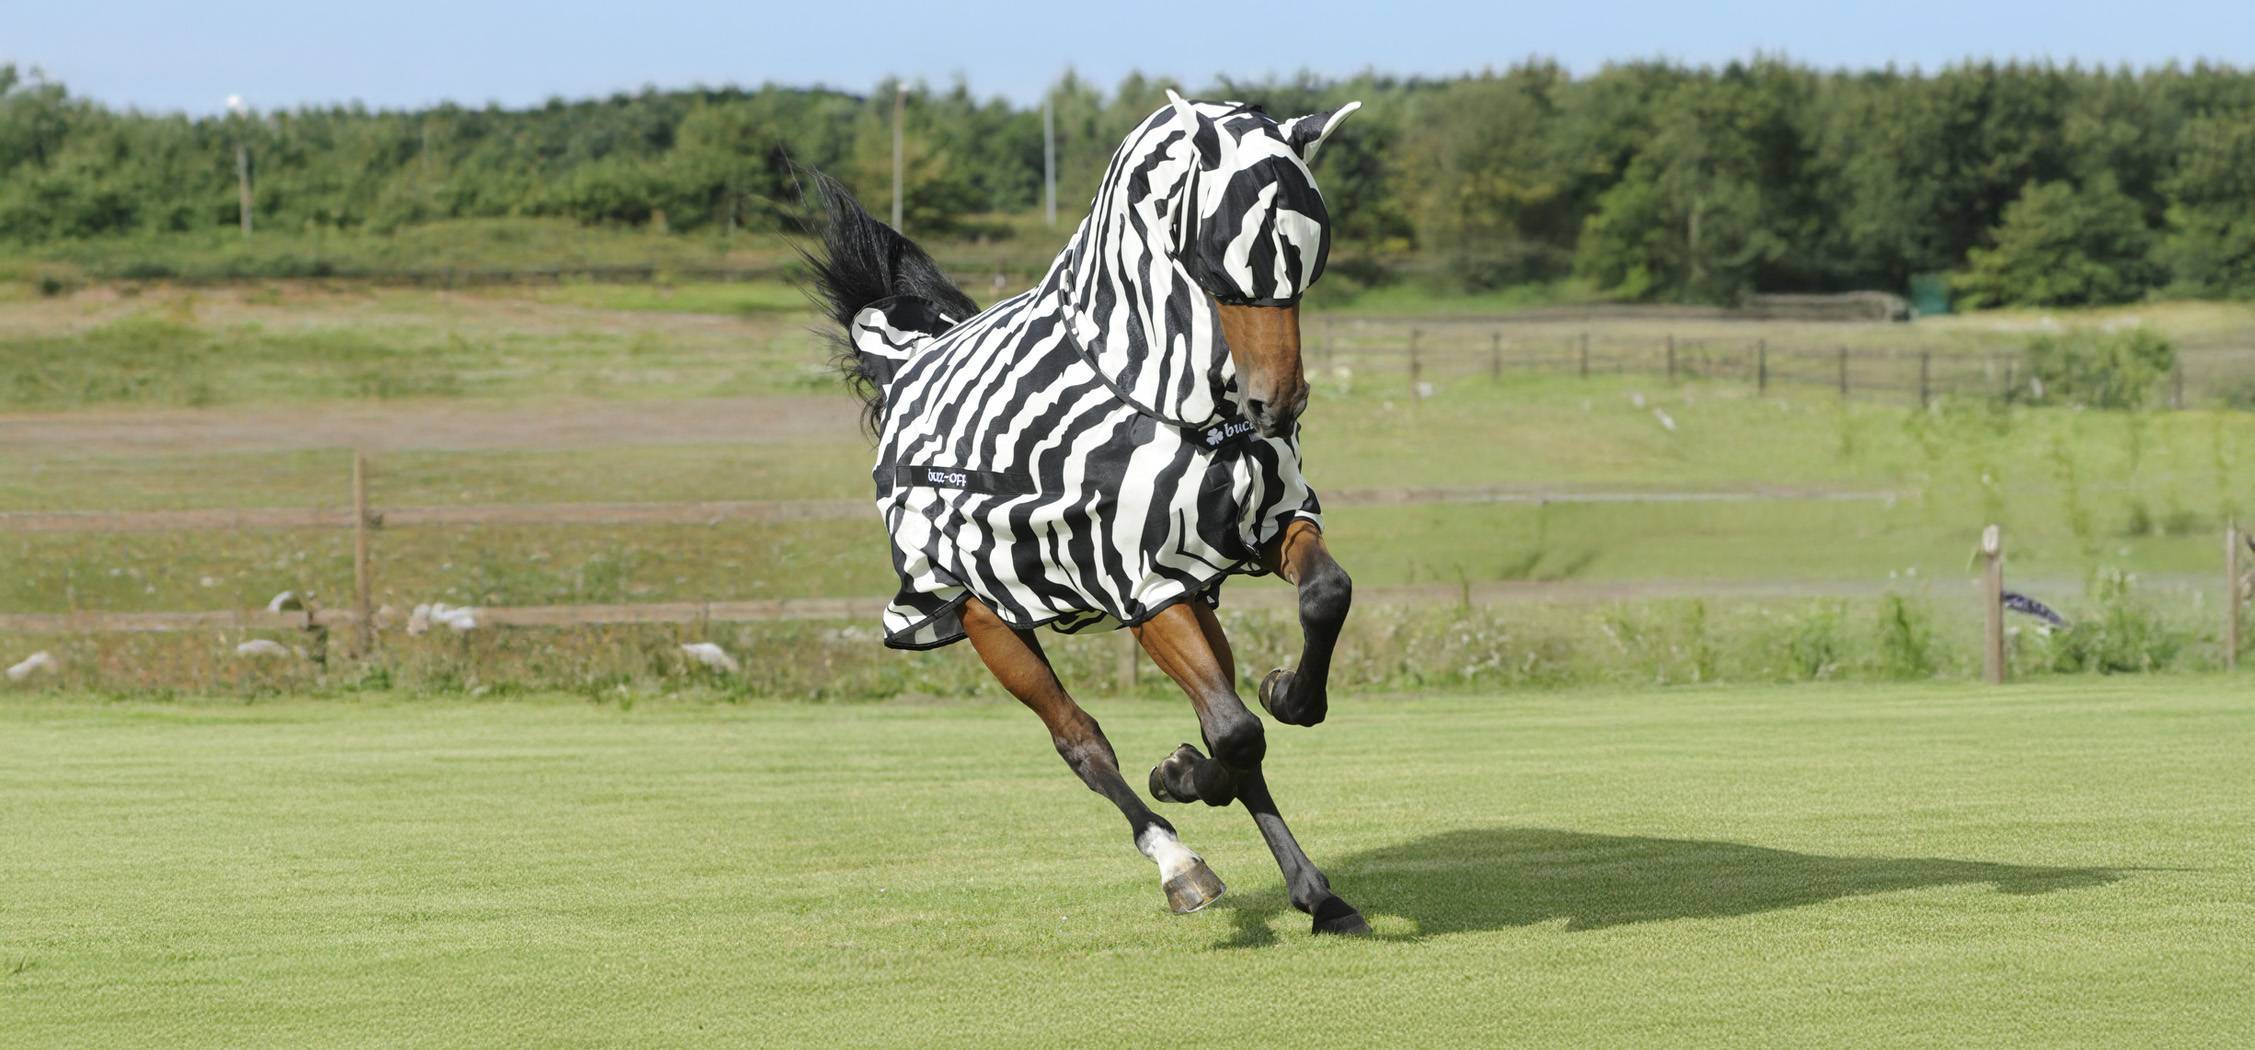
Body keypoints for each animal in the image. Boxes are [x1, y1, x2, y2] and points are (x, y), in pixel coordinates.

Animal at [805, 90, 1369, 935]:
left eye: (1311, 254)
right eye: (1218, 253)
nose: (1277, 403)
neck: (1157, 401)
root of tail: (905, 362)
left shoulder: (1256, 529)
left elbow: (1320, 604)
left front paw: (1283, 697)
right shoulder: (1141, 585)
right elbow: (1234, 734)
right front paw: (1185, 776)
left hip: (1185, 601)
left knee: (1218, 722)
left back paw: (1310, 888)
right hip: (986, 621)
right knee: (1083, 742)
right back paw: (1180, 865)